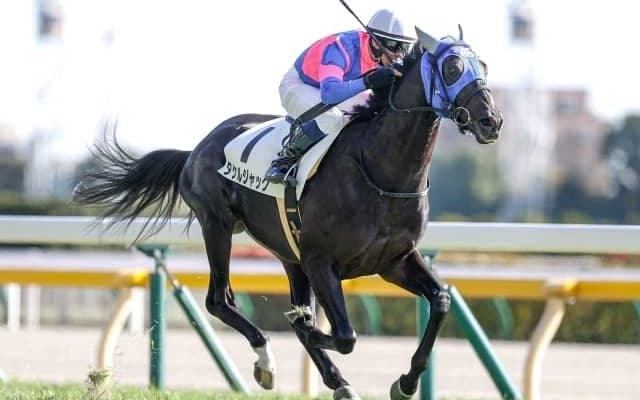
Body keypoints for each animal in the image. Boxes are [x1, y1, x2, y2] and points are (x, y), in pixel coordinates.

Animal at [74, 27, 502, 400]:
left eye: (483, 64)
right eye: (451, 68)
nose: (491, 121)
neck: (380, 170)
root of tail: (197, 148)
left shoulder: (394, 260)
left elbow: (440, 302)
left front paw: (406, 382)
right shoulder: (322, 262)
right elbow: (342, 335)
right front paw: (307, 333)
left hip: (287, 254)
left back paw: (335, 380)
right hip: (219, 224)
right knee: (219, 300)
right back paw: (269, 362)